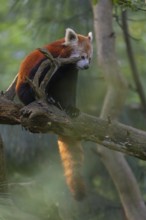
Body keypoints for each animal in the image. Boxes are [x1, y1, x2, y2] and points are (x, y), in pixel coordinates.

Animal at [15, 28, 92, 200]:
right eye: (82, 57)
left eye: (90, 58)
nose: (87, 67)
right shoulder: (49, 61)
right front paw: (44, 97)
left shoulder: (71, 72)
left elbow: (70, 89)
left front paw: (71, 108)